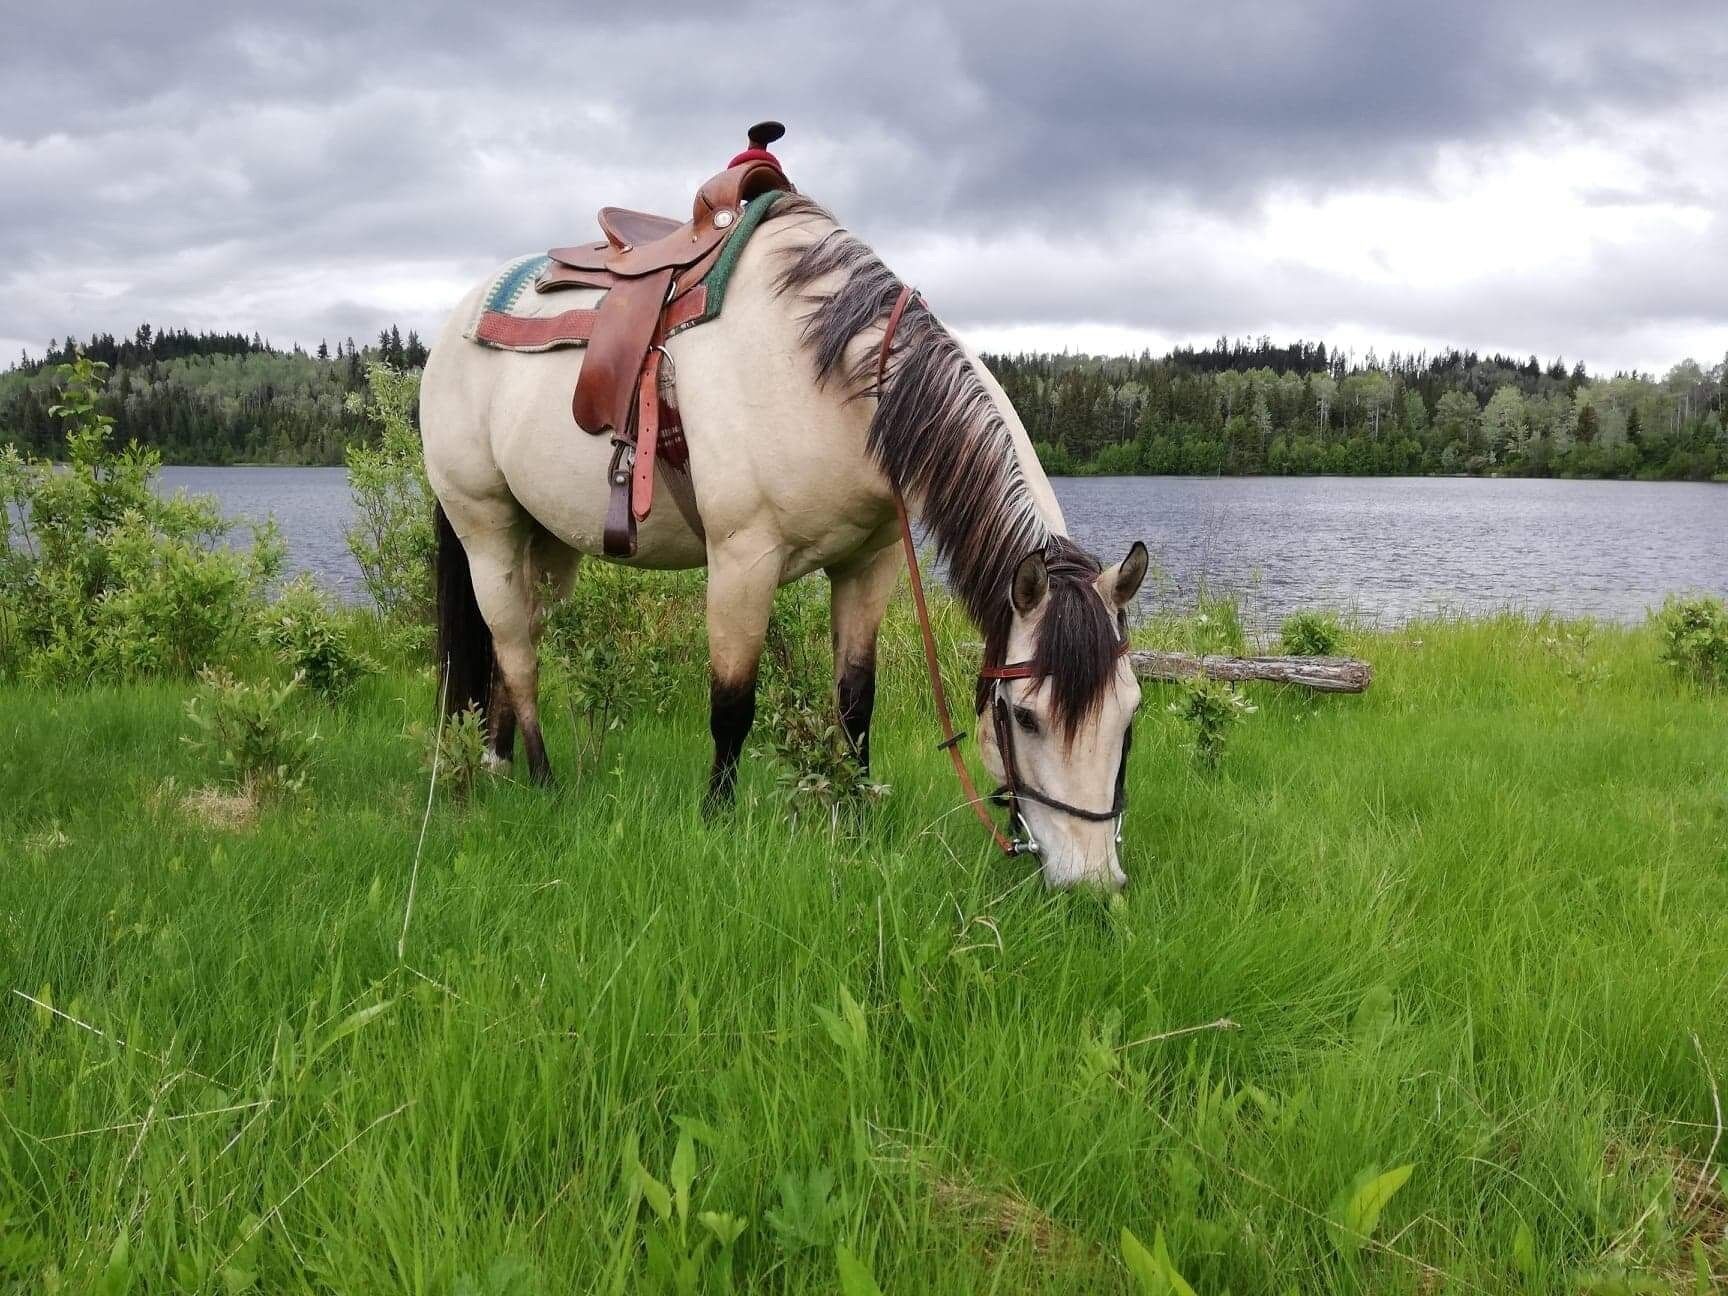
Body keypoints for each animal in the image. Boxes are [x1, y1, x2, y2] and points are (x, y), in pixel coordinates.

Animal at [421, 193, 1150, 888]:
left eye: (1130, 715)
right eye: (1024, 717)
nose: (1090, 880)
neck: (835, 383)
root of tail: (458, 322)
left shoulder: (869, 563)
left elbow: (855, 702)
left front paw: (855, 817)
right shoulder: (743, 561)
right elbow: (731, 706)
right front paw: (716, 820)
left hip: (547, 544)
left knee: (515, 646)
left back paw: (501, 761)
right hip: (486, 527)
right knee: (515, 651)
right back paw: (542, 779)